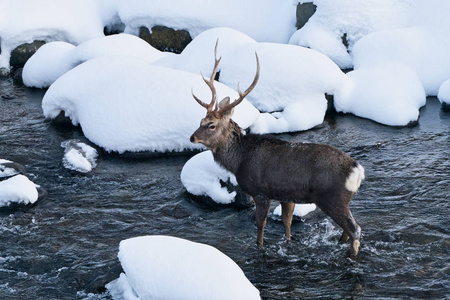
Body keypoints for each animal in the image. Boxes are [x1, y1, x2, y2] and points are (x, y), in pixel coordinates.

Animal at [190, 42, 366, 258]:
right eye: (201, 120)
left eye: (212, 125)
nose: (192, 137)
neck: (239, 161)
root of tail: (357, 171)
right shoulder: (286, 195)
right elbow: (287, 222)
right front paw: (288, 243)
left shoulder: (260, 192)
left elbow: (260, 224)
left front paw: (260, 246)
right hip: (341, 200)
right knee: (348, 228)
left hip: (332, 197)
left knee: (355, 229)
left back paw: (352, 255)